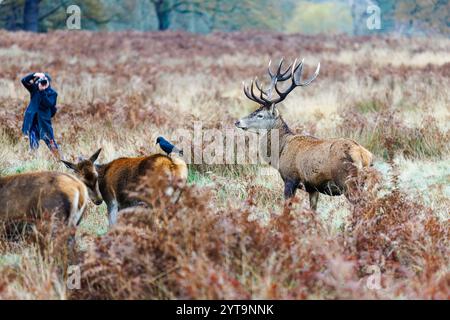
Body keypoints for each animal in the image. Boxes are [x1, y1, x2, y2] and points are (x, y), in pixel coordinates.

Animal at [236, 58, 372, 210]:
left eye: (260, 115)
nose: (237, 121)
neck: (280, 152)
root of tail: (363, 154)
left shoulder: (290, 178)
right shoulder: (313, 187)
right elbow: (313, 210)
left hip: (347, 181)